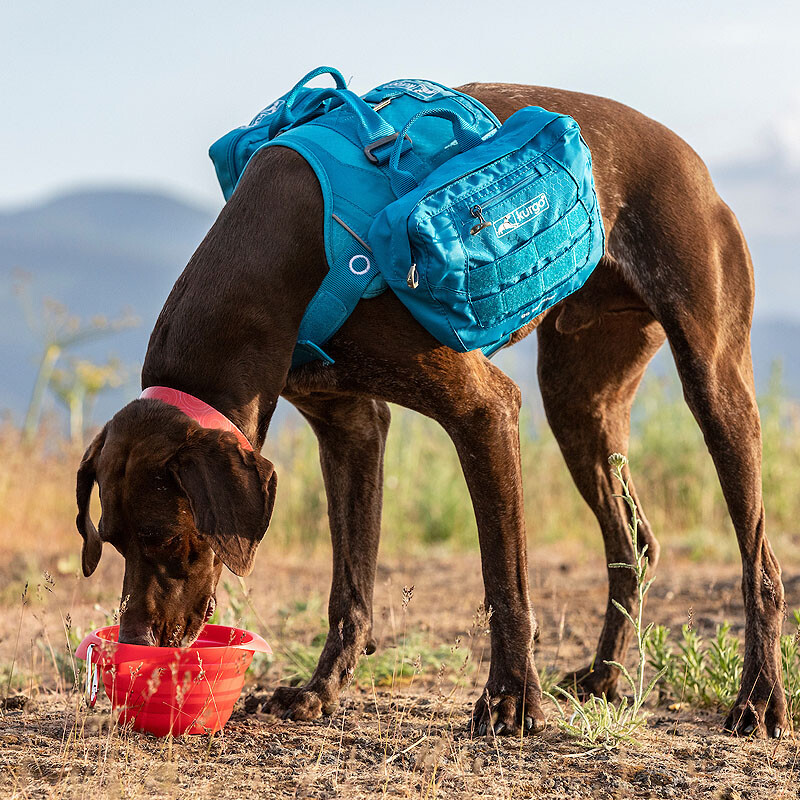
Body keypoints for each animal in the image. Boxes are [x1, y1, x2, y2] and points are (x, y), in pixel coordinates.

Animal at [76, 81, 788, 736]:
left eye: (166, 539)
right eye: (110, 542)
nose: (134, 646)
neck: (275, 253)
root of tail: (696, 165)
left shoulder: (484, 410)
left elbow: (505, 579)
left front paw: (510, 701)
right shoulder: (350, 427)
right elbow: (350, 586)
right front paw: (320, 691)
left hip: (715, 385)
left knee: (760, 565)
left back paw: (758, 700)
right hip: (579, 406)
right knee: (632, 547)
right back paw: (604, 678)